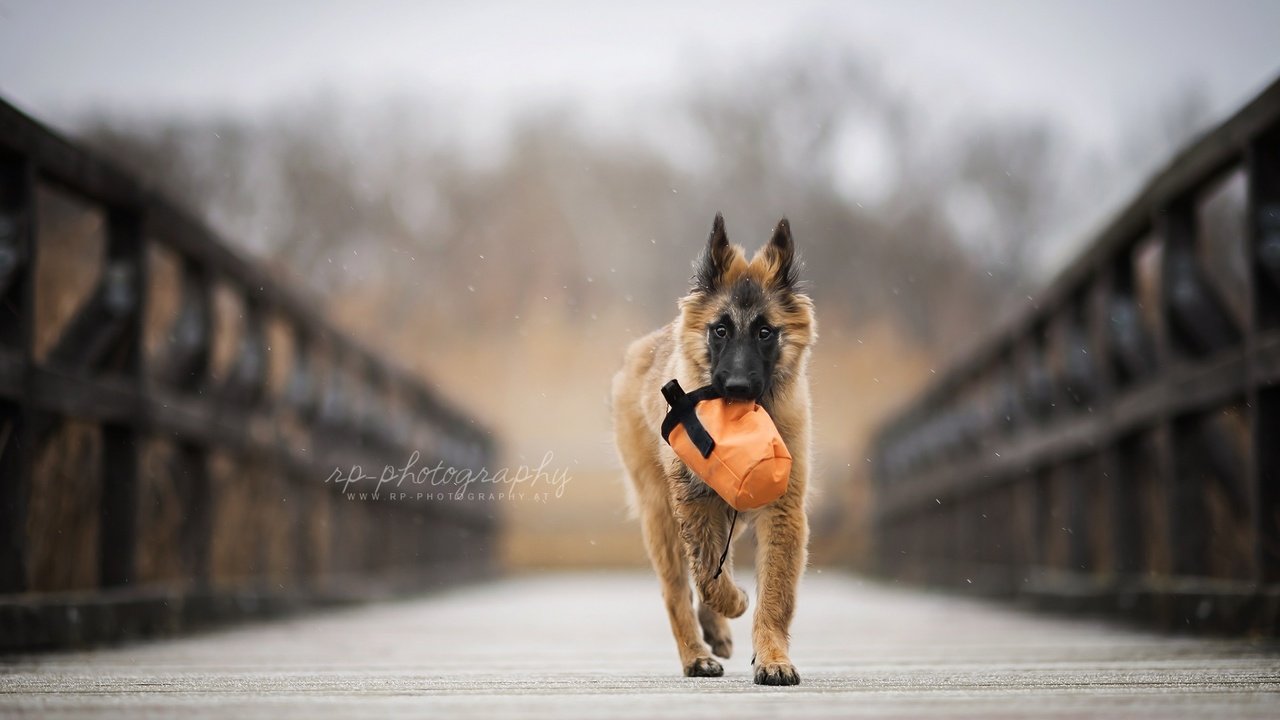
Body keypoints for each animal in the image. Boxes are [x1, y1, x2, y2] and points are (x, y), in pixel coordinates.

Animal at [606, 210, 808, 681]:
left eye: (765, 332)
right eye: (720, 330)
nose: (736, 388)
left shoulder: (782, 511)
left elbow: (774, 594)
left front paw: (772, 658)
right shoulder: (695, 503)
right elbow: (708, 577)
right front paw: (736, 603)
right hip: (659, 514)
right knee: (678, 589)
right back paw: (696, 654)